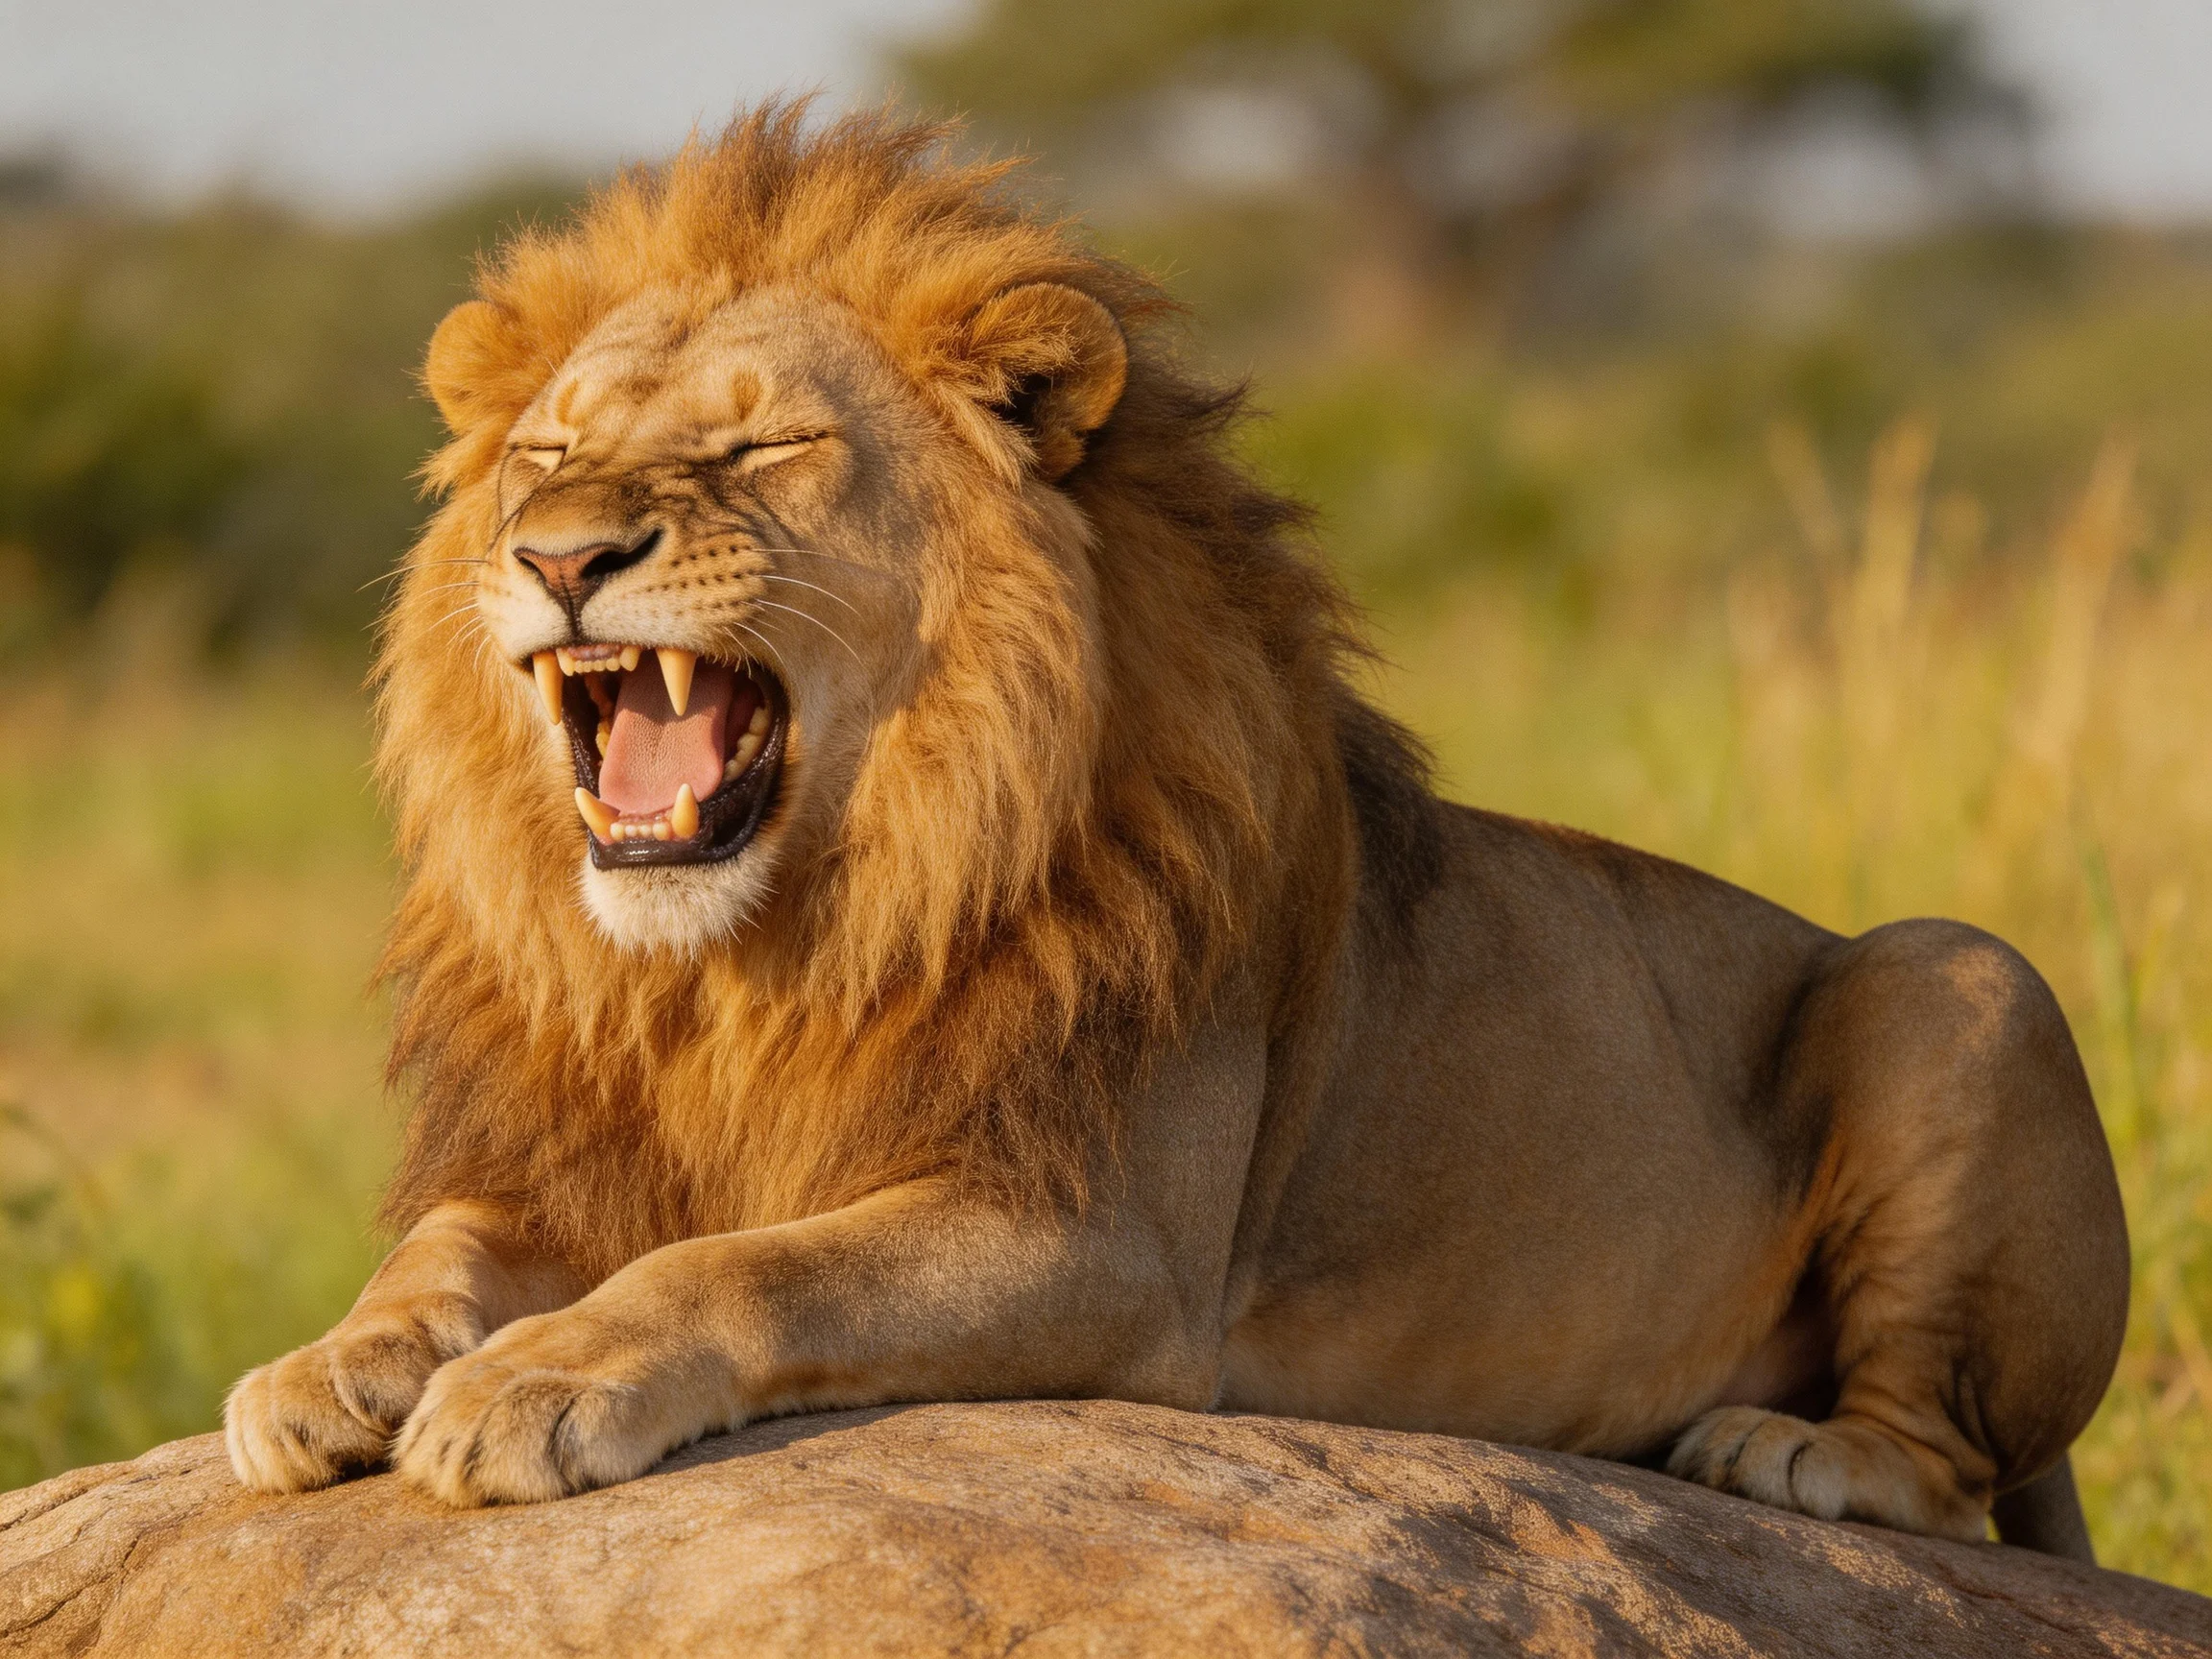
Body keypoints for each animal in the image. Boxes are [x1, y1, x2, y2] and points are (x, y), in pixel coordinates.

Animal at [223, 107, 2128, 1560]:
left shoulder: (1103, 1242)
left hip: (1957, 975)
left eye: (765, 448)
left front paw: (528, 1384)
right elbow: (446, 1245)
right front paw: (329, 1366)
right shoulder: (592, 1147)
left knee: (1950, 1457)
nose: (556, 554)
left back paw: (1789, 1450)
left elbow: (745, 1267)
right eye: (543, 453)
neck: (751, 965)